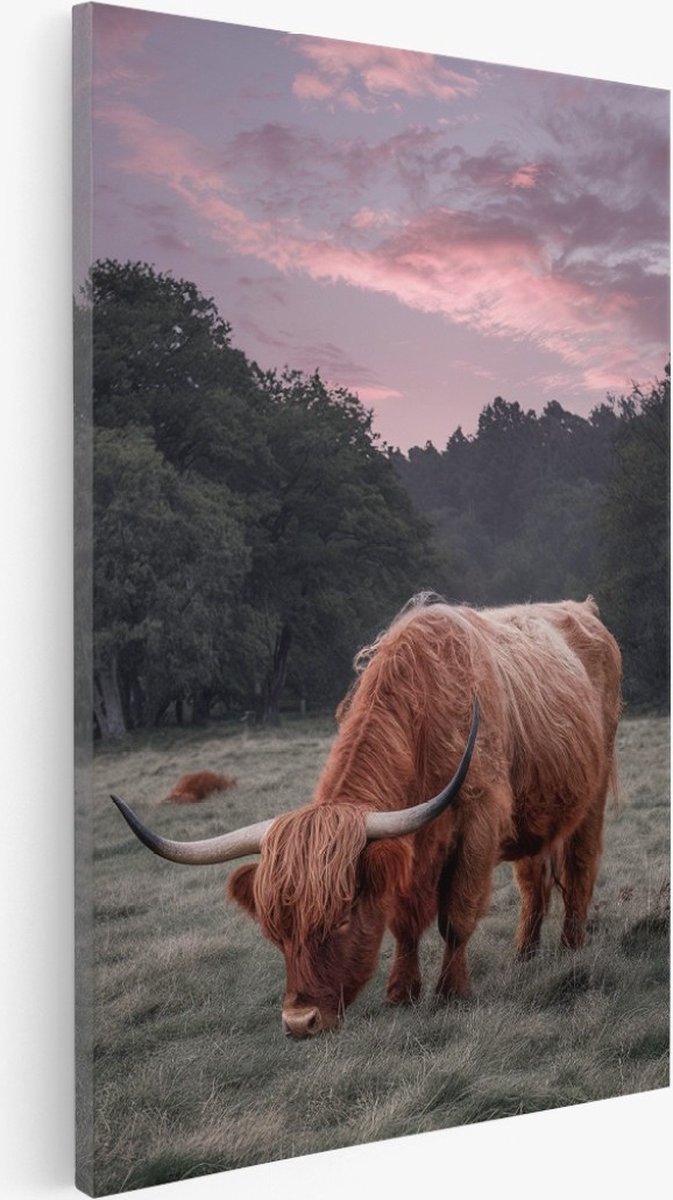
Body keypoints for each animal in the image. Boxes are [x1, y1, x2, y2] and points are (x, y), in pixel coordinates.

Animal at [112, 594, 622, 1039]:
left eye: (339, 919)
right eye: (277, 929)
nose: (300, 1022)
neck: (426, 720)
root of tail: (584, 610)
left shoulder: (478, 824)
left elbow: (456, 917)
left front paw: (451, 992)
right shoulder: (412, 850)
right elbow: (405, 924)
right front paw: (401, 993)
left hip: (593, 793)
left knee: (580, 868)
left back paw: (570, 949)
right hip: (537, 814)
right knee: (534, 880)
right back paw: (524, 956)